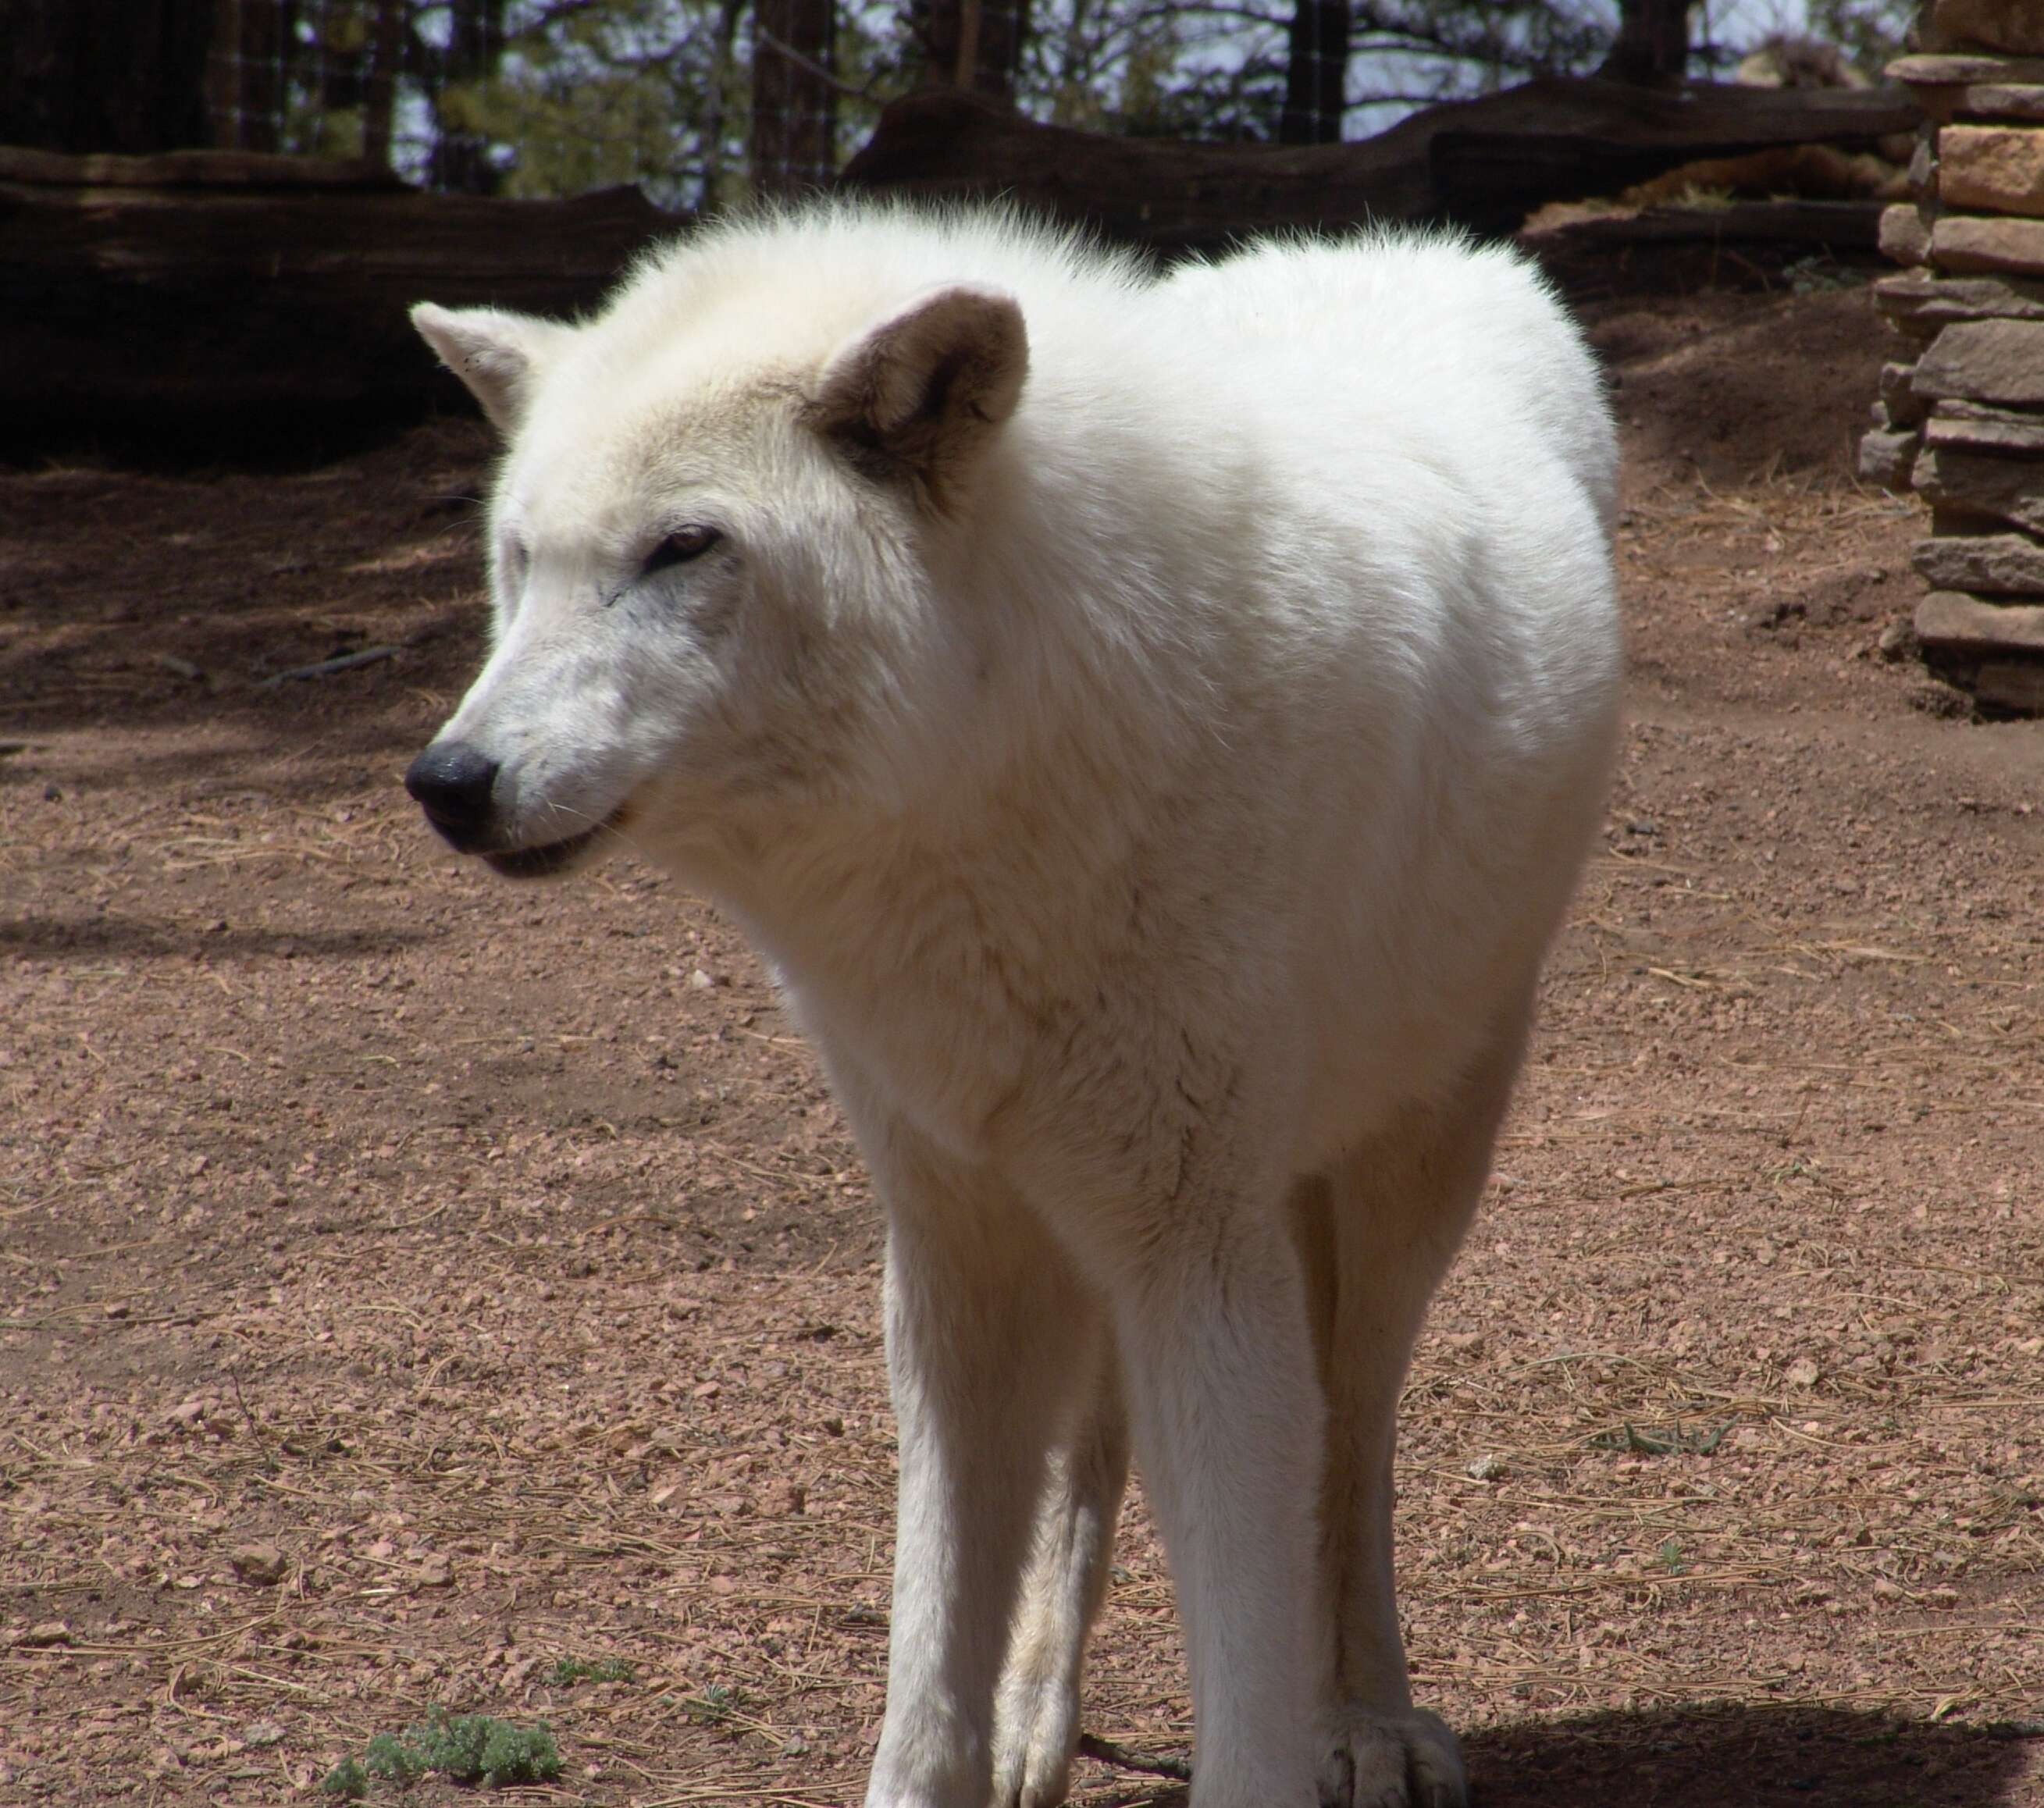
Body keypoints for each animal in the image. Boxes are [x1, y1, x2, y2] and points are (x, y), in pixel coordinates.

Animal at [398, 204, 1610, 1806]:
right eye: (519, 559)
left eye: (682, 548)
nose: (448, 782)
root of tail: (1409, 242)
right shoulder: (955, 1244)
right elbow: (932, 1651)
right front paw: (974, 1730)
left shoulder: (1200, 1253)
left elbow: (1248, 1646)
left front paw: (1297, 1730)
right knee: (1097, 1450)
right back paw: (1042, 1709)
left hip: (1409, 1173)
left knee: (1351, 1445)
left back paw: (1366, 1719)